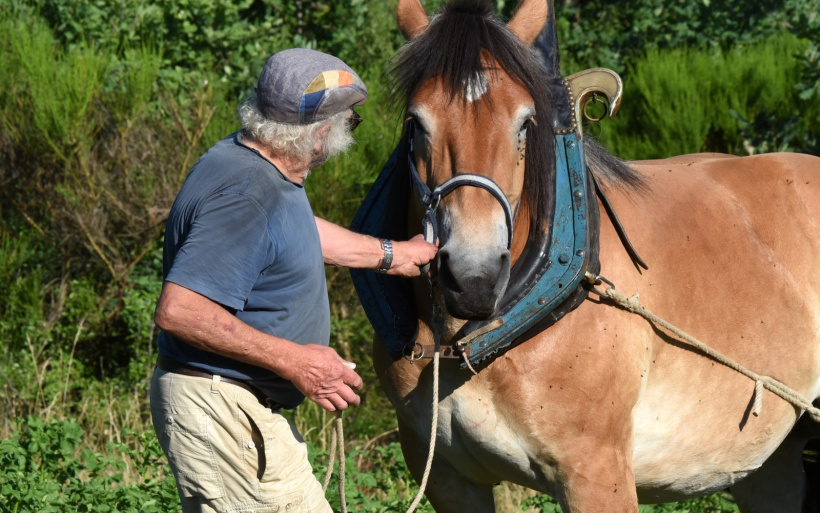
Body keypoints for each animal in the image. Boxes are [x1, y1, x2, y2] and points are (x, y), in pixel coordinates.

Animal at [350, 0, 820, 510]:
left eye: (525, 123)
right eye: (415, 124)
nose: (473, 278)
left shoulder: (596, 472)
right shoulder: (445, 477)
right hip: (771, 463)